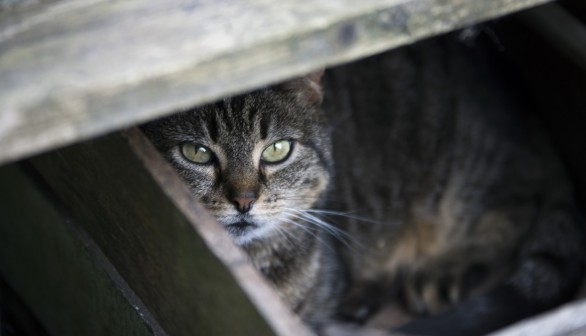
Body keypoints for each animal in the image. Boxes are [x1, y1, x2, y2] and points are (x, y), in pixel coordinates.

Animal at [143, 30, 584, 334]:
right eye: (196, 153)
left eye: (277, 150)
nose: (244, 200)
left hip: (466, 177)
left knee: (517, 211)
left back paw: (444, 269)